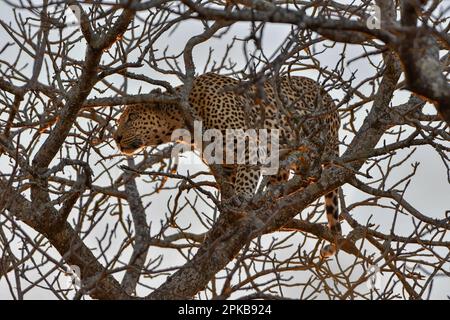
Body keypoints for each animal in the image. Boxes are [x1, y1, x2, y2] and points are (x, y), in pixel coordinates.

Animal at [115, 72, 342, 258]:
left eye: (131, 117)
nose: (115, 137)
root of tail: (331, 102)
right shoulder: (224, 162)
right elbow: (228, 187)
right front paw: (225, 218)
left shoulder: (247, 144)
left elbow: (245, 179)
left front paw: (241, 200)